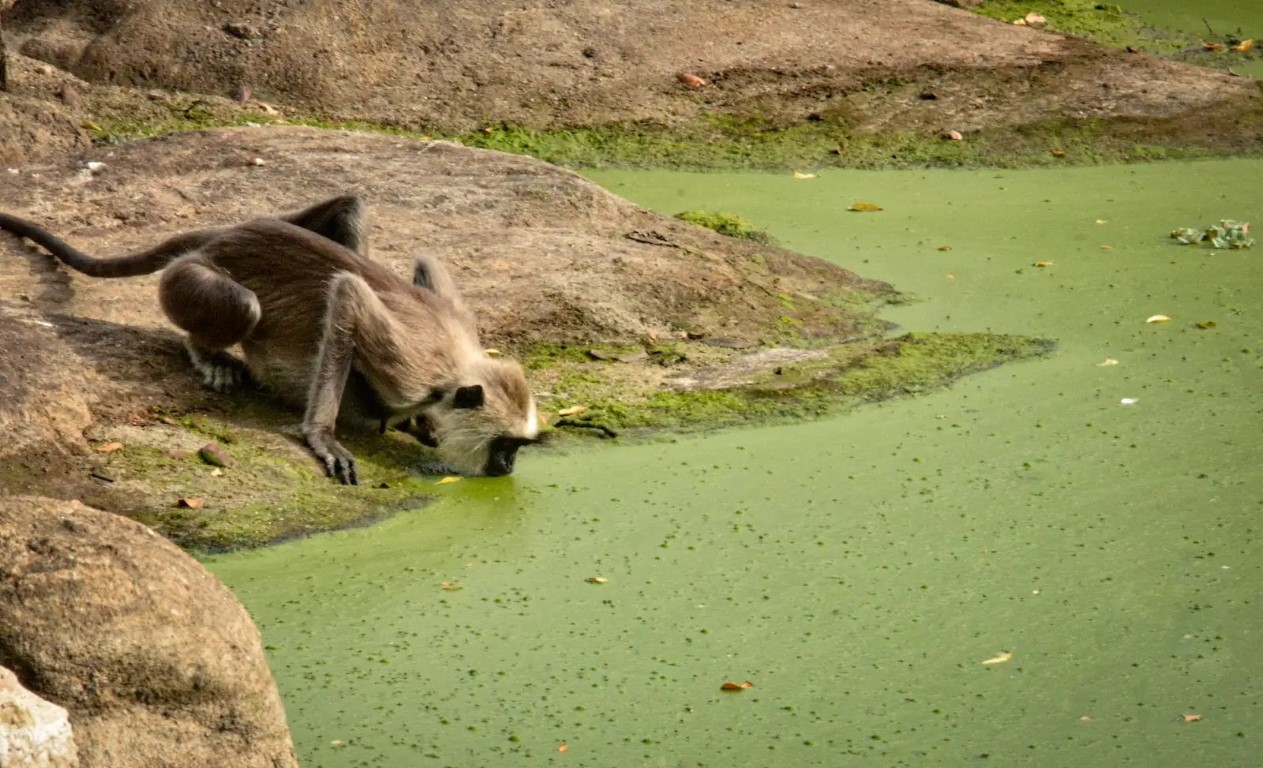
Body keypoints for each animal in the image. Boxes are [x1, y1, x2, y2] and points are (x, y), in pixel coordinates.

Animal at [0, 195, 540, 483]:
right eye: (506, 444)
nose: (510, 465)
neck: (455, 367)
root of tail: (225, 235)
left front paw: (420, 424)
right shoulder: (410, 369)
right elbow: (346, 292)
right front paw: (322, 437)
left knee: (353, 206)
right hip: (191, 281)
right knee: (246, 307)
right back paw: (207, 352)